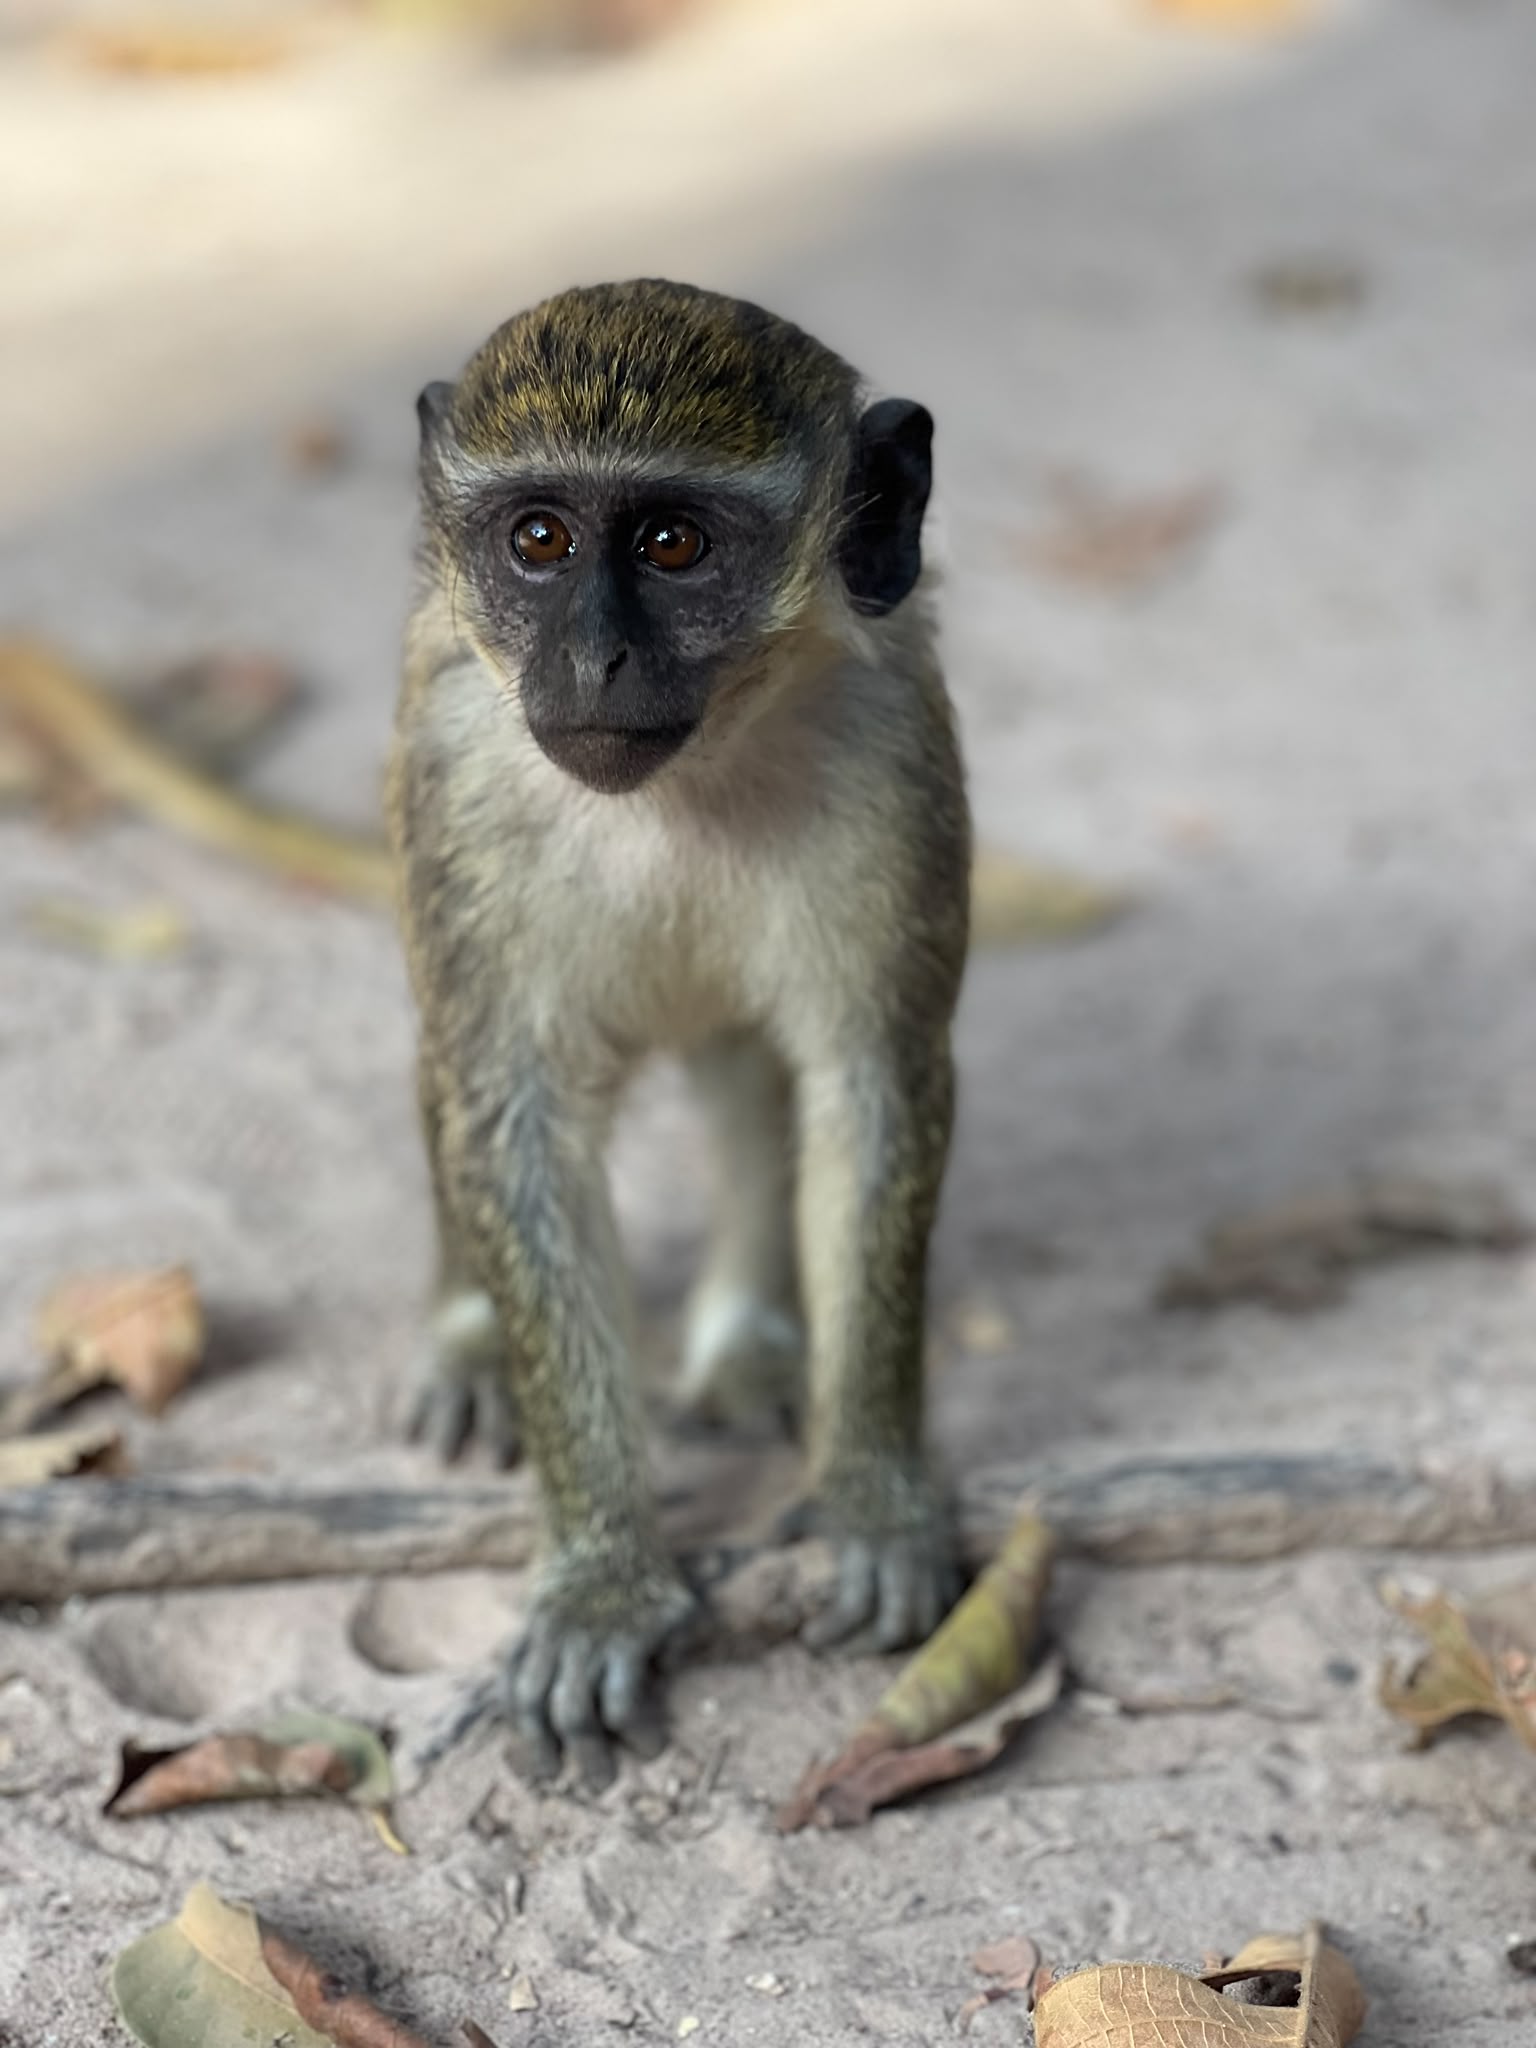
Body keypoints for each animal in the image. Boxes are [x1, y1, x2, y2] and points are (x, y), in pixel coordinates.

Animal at [386, 279, 970, 1784]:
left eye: (673, 542)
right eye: (538, 538)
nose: (592, 655)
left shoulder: (889, 745)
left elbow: (868, 1089)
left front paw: (875, 1498)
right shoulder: (455, 759)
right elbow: (511, 1120)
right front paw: (602, 1578)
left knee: (746, 1064)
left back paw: (749, 1344)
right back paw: (466, 1339)